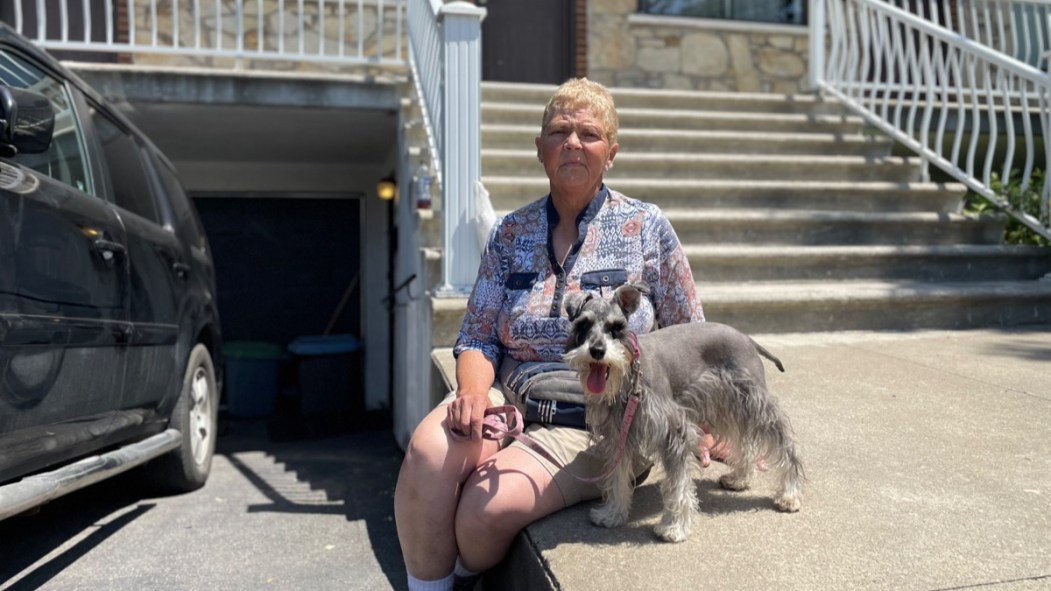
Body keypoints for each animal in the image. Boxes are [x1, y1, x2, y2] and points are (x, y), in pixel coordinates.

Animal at [567, 283, 802, 542]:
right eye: (583, 324)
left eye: (616, 327)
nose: (597, 351)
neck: (629, 377)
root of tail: (746, 338)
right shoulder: (619, 435)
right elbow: (617, 475)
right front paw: (612, 513)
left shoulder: (674, 431)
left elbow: (677, 484)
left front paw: (674, 527)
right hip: (729, 406)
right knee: (744, 441)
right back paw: (739, 477)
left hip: (754, 403)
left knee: (784, 444)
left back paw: (789, 494)